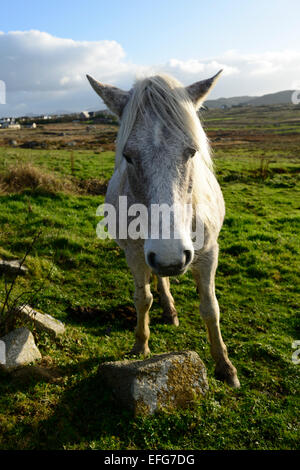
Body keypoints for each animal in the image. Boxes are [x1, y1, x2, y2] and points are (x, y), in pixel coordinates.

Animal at [86, 71, 239, 388]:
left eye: (191, 152)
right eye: (128, 156)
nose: (170, 257)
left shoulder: (209, 253)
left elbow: (211, 308)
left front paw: (225, 366)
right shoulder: (134, 253)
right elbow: (142, 299)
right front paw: (140, 345)